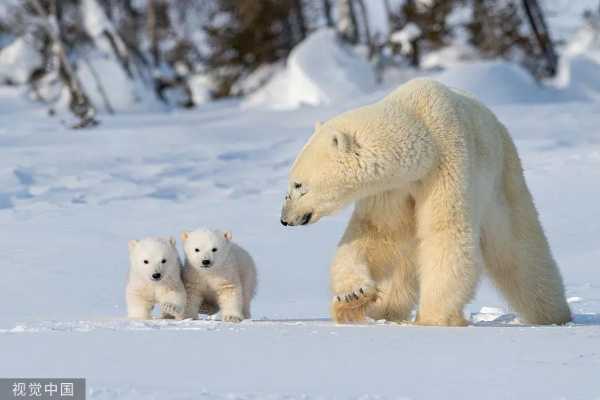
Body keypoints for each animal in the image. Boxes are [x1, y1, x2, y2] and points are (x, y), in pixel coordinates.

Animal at [282, 79, 572, 326]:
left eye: (298, 185)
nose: (285, 218)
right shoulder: (393, 189)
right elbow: (378, 233)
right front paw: (353, 295)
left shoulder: (448, 163)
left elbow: (447, 232)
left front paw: (432, 318)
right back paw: (374, 311)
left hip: (502, 178)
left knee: (519, 248)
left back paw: (554, 314)